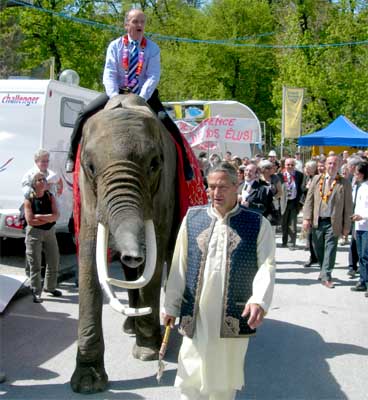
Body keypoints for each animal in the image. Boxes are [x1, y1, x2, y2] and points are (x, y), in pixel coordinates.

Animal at [71, 94, 180, 394]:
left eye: (154, 164)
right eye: (90, 166)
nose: (132, 255)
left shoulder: (164, 191)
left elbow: (156, 259)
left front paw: (147, 353)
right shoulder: (88, 195)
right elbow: (88, 255)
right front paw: (87, 383)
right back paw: (132, 327)